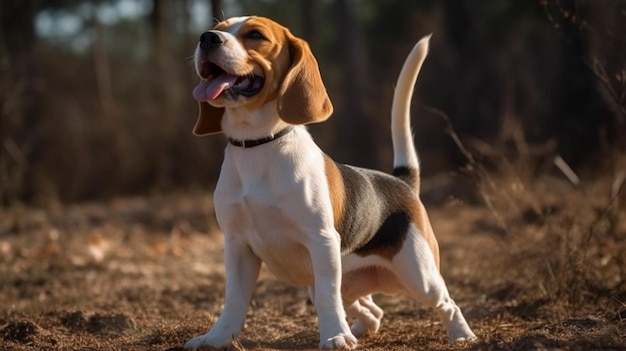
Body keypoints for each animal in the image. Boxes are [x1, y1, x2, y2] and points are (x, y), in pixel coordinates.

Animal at [184, 15, 472, 350]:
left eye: (255, 35)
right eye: (219, 28)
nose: (206, 38)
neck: (258, 145)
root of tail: (401, 182)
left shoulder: (321, 240)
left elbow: (326, 297)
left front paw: (334, 336)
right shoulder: (237, 246)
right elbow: (233, 301)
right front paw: (216, 338)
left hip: (419, 276)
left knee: (447, 303)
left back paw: (462, 335)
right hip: (349, 279)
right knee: (373, 311)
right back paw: (358, 330)